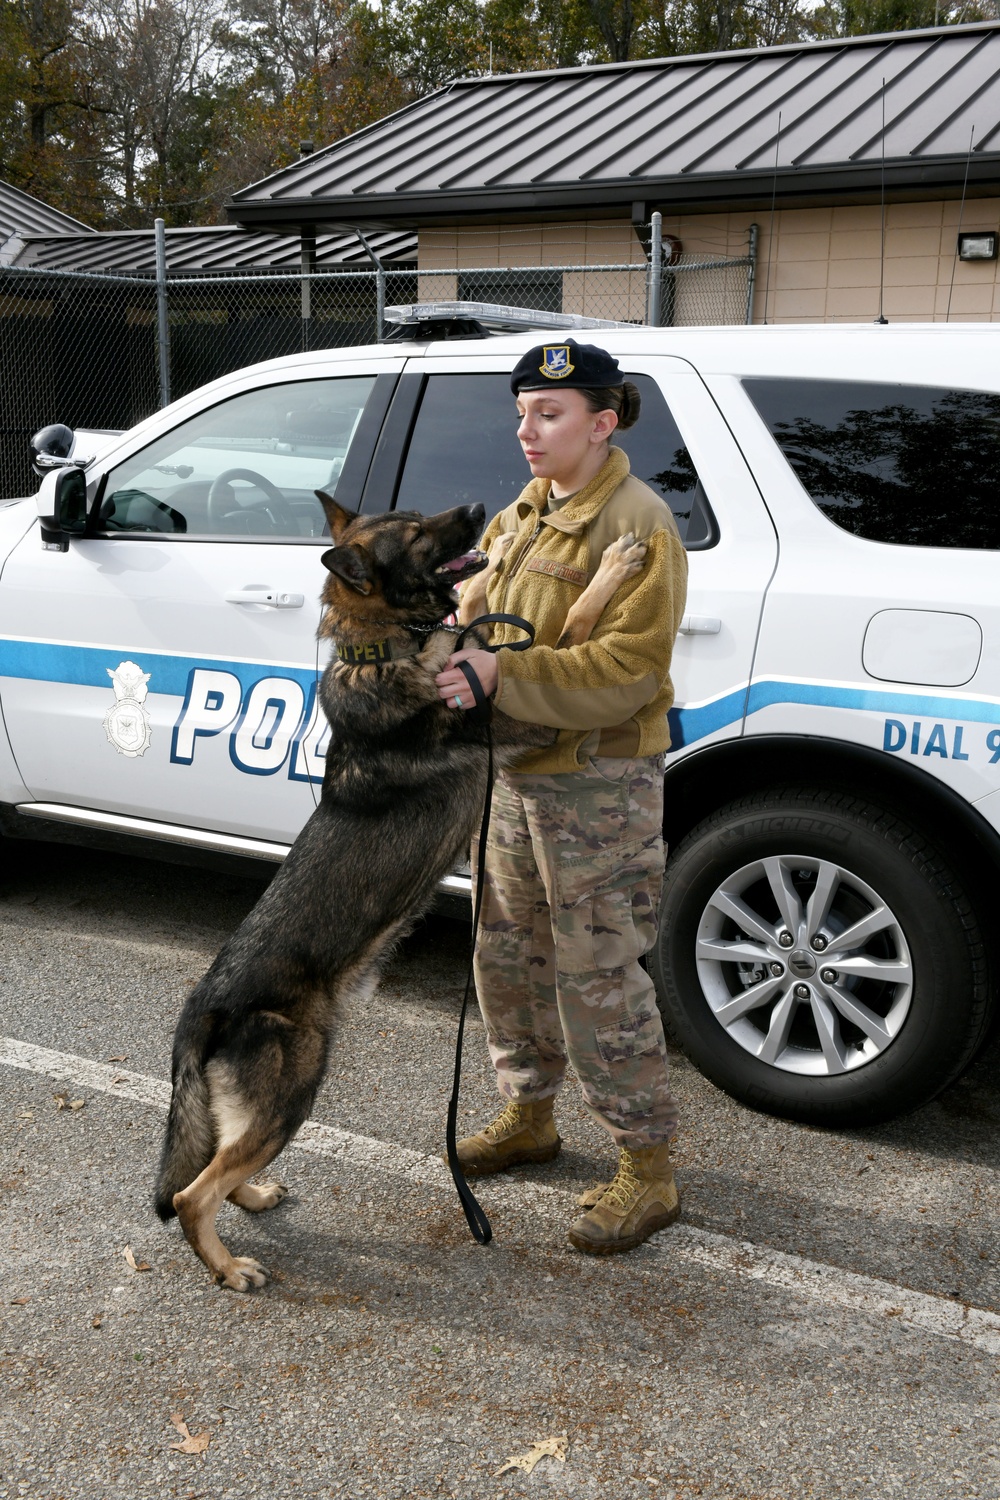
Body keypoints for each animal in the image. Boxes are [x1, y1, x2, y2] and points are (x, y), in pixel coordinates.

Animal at [152, 495, 644, 1290]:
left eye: (415, 512)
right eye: (413, 534)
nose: (478, 506)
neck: (383, 650)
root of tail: (205, 1007)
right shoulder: (515, 713)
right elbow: (572, 627)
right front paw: (615, 567)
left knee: (219, 1166)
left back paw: (251, 1197)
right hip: (296, 1088)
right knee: (194, 1193)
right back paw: (230, 1267)